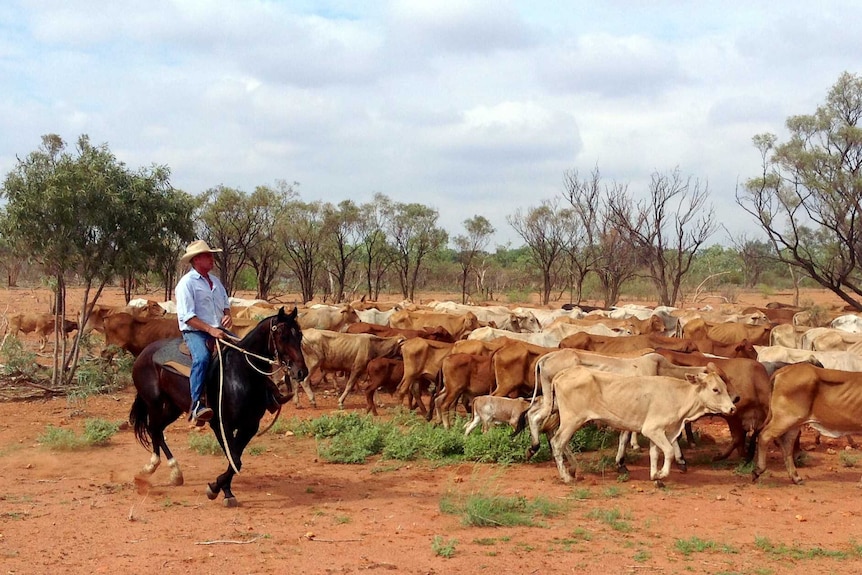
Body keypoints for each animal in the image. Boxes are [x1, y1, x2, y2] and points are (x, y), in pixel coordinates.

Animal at [126, 308, 306, 506]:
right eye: (282, 336)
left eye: (300, 336)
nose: (301, 372)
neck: (240, 373)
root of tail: (145, 352)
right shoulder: (220, 425)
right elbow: (234, 458)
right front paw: (215, 488)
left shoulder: (249, 426)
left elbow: (235, 460)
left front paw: (224, 490)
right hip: (154, 402)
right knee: (154, 428)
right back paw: (156, 468)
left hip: (174, 407)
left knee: (157, 429)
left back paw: (171, 473)